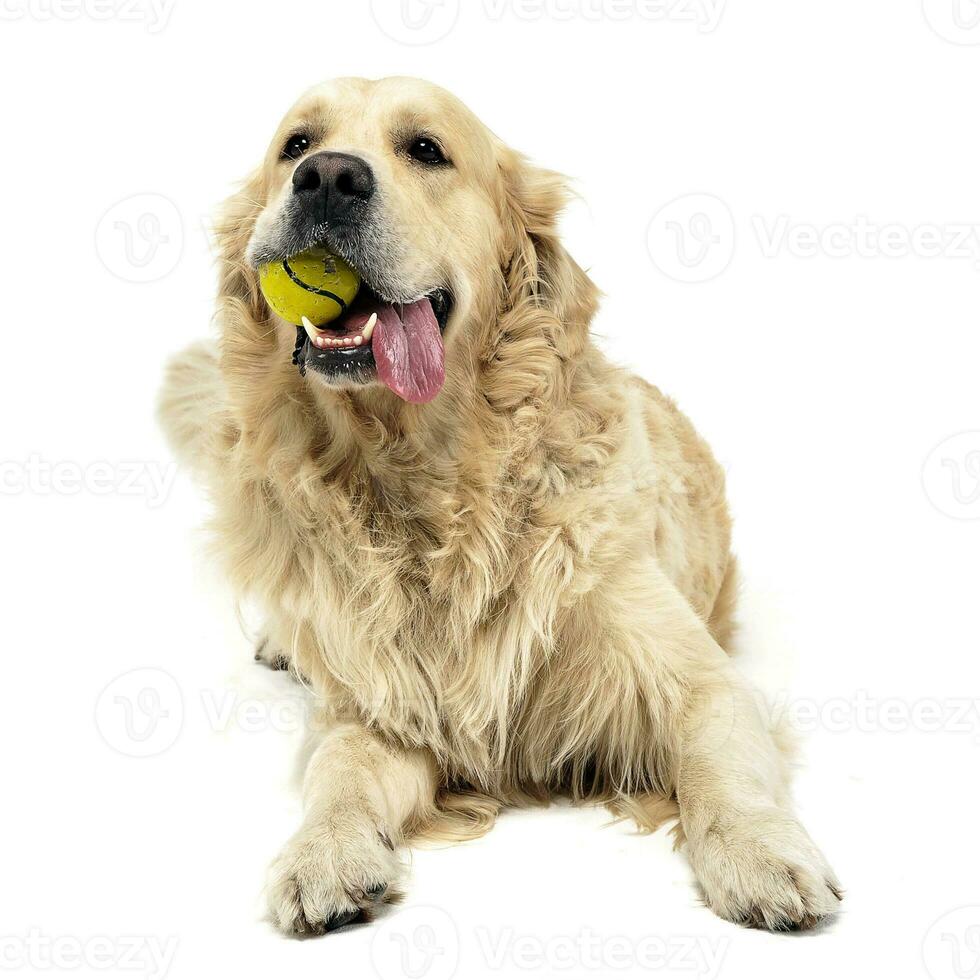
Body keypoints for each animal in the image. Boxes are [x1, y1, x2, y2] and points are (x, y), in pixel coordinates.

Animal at [159, 74, 844, 936]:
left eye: (426, 149)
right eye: (296, 145)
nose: (326, 178)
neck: (431, 483)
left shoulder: (699, 680)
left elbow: (722, 766)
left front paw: (761, 853)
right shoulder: (383, 708)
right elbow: (338, 768)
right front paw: (322, 855)